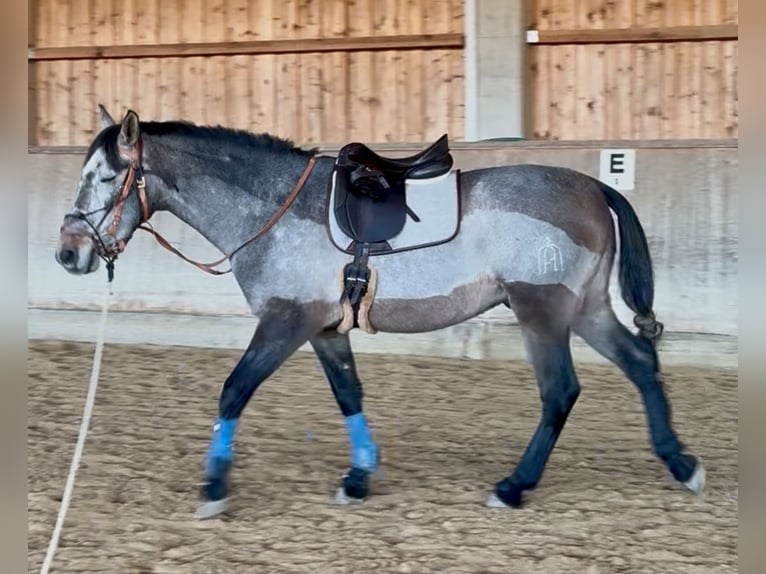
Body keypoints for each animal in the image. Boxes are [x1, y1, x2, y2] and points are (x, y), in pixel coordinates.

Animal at [54, 106, 705, 519]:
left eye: (106, 176)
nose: (68, 253)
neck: (273, 208)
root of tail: (596, 188)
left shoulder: (285, 321)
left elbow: (234, 391)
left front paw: (214, 487)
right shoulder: (322, 328)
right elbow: (349, 393)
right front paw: (359, 476)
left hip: (541, 311)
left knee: (560, 391)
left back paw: (515, 486)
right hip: (587, 308)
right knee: (641, 362)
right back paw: (680, 462)